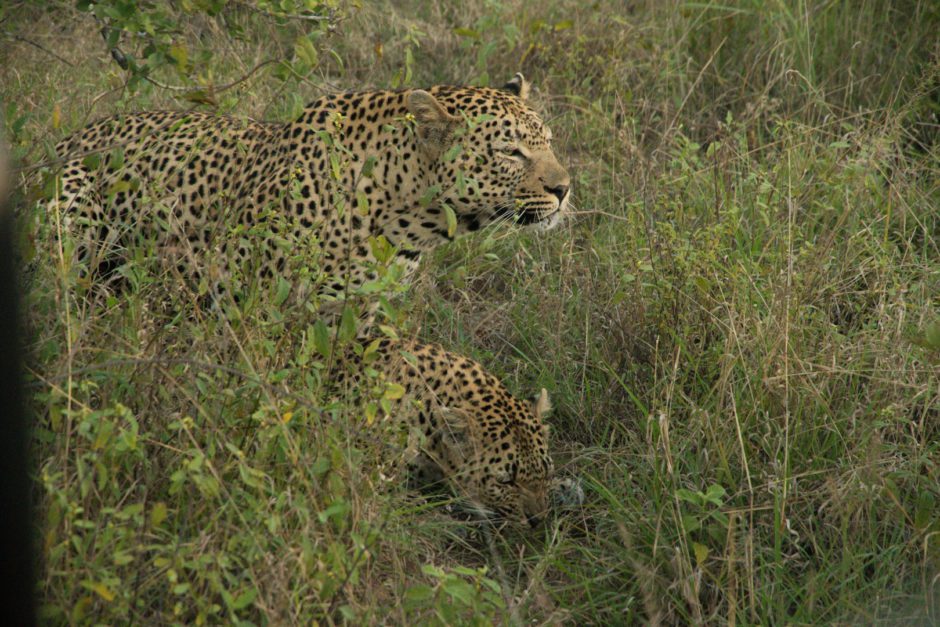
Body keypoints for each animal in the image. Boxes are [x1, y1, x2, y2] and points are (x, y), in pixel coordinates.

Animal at [49, 73, 572, 312]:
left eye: (548, 141)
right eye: (510, 152)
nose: (564, 189)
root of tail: (69, 139)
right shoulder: (241, 299)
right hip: (71, 205)